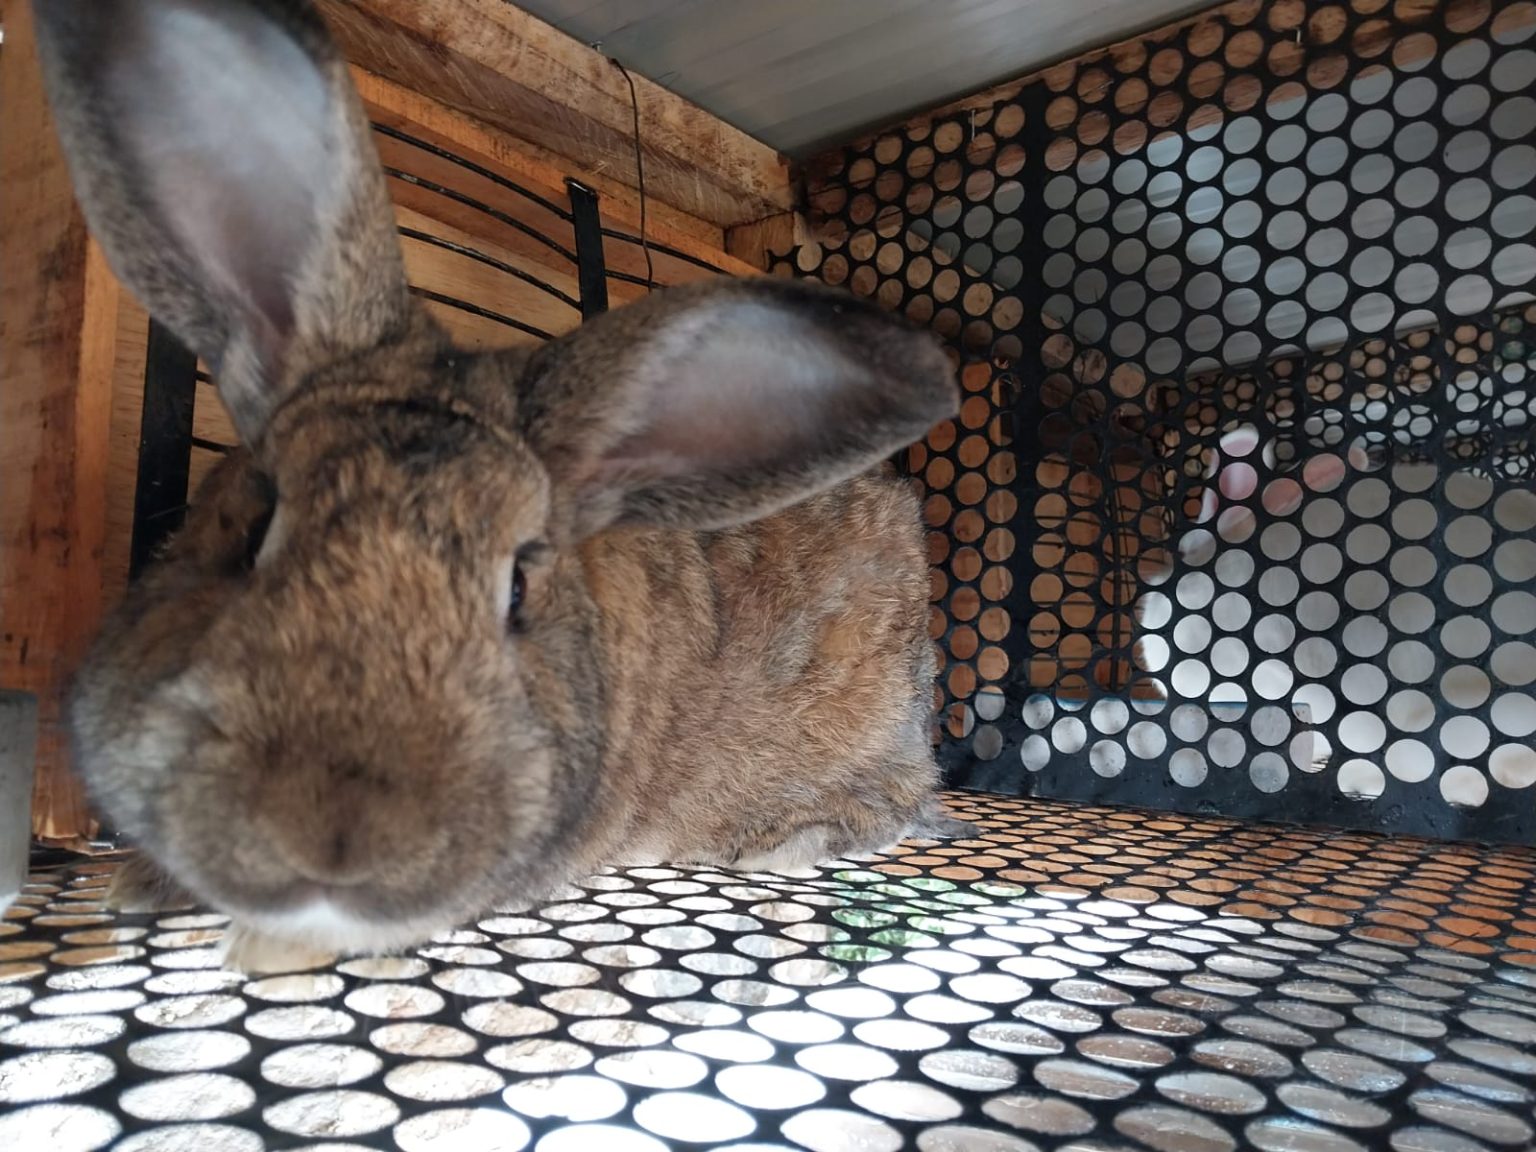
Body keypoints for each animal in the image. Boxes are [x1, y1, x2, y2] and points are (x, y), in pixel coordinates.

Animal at [37, 0, 973, 973]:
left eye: (517, 589)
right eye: (254, 522)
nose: (329, 838)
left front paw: (263, 947)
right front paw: (141, 888)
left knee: (902, 803)